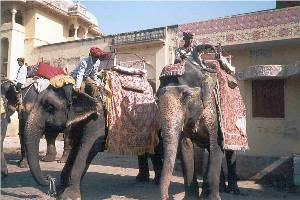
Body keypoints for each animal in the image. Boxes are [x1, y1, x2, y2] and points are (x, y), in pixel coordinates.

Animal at [23, 83, 163, 200]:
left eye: (50, 107)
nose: (49, 178)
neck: (77, 89)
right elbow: (76, 150)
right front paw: (61, 188)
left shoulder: (97, 121)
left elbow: (86, 150)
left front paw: (69, 196)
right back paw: (145, 179)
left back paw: (156, 181)